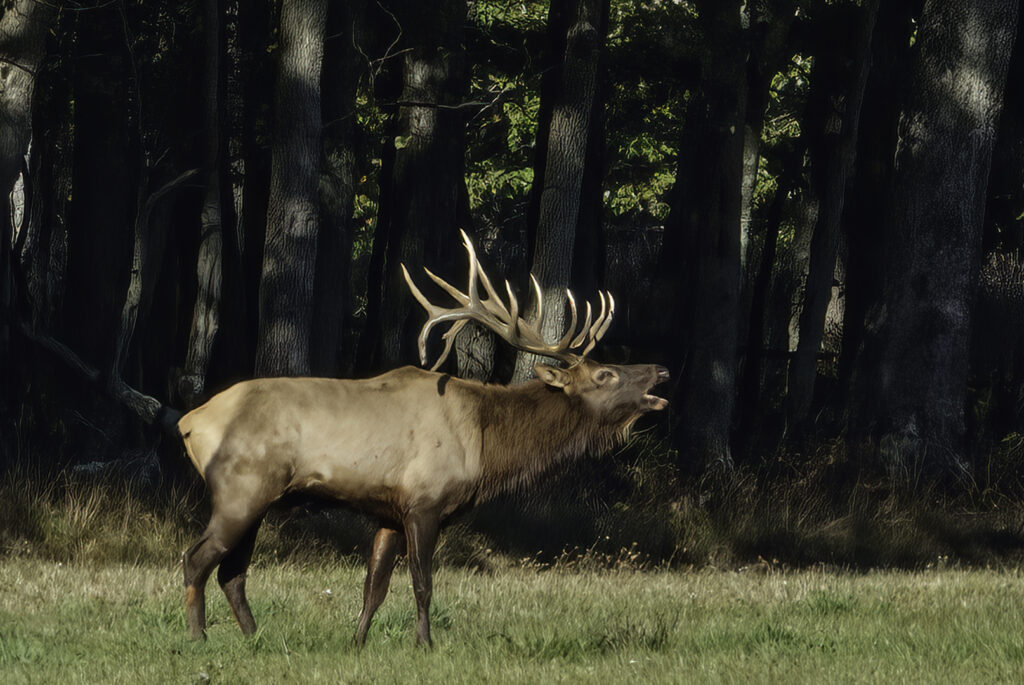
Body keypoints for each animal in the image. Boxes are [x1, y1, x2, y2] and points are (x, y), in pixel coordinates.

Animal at [177, 231, 669, 647]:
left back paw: (254, 638)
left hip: (259, 499)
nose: (660, 370)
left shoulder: (389, 511)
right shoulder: (425, 501)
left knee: (232, 571)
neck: (486, 446)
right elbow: (422, 583)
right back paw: (199, 639)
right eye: (605, 375)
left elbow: (373, 586)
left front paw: (356, 643)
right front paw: (425, 644)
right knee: (197, 559)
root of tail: (189, 421)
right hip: (241, 489)